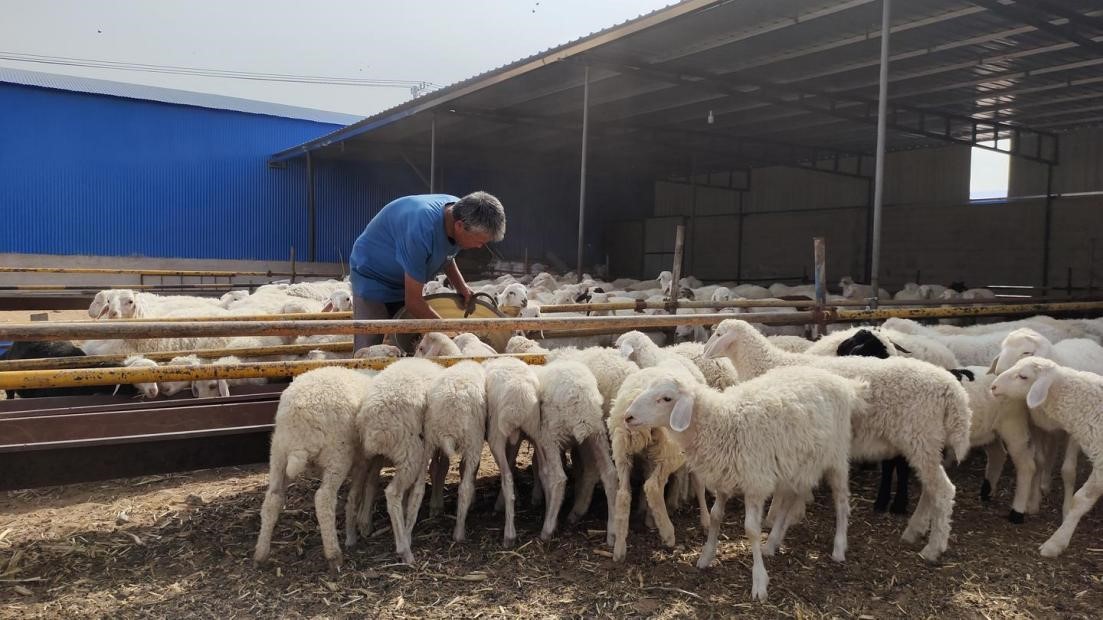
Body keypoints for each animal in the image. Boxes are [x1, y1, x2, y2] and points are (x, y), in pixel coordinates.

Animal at [252, 366, 375, 569]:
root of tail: (300, 422)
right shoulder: (362, 461)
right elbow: (357, 494)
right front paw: (356, 529)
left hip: (278, 453)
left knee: (272, 498)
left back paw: (261, 553)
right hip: (338, 454)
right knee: (324, 498)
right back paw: (334, 554)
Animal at [352, 355, 438, 562]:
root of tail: (378, 425)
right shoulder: (426, 448)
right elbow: (417, 492)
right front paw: (408, 532)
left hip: (371, 454)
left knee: (370, 482)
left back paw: (364, 523)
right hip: (411, 450)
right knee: (393, 493)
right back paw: (404, 549)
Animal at [626, 364, 864, 595]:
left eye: (666, 398)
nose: (628, 416)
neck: (721, 423)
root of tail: (839, 381)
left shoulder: (755, 484)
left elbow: (751, 529)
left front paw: (759, 581)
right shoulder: (723, 479)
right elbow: (715, 516)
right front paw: (706, 556)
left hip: (836, 456)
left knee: (842, 501)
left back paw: (839, 547)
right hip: (798, 462)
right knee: (791, 498)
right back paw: (772, 543)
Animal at [701, 317, 970, 560]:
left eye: (718, 334)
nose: (704, 353)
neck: (769, 363)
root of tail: (951, 388)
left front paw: (774, 517)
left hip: (920, 436)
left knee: (943, 490)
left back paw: (933, 548)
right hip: (926, 441)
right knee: (930, 488)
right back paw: (915, 530)